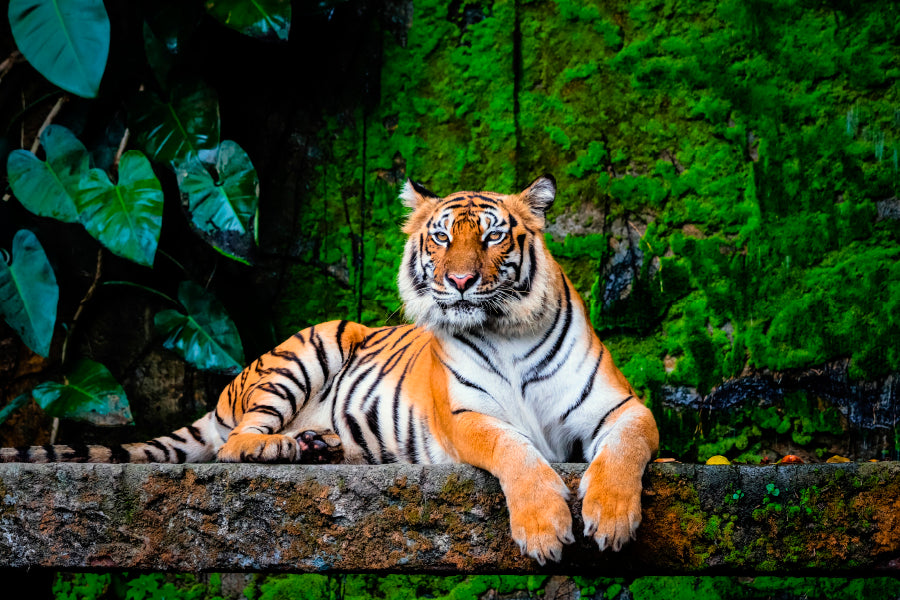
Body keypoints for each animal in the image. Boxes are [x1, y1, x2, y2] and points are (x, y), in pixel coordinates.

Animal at [3, 175, 656, 564]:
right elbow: (515, 451)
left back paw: (321, 445)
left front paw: (611, 518)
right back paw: (286, 447)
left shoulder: (621, 407)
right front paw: (546, 529)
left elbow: (624, 449)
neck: (505, 330)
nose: (461, 281)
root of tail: (226, 390)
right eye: (441, 238)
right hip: (308, 349)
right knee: (234, 445)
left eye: (495, 237)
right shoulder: (468, 415)